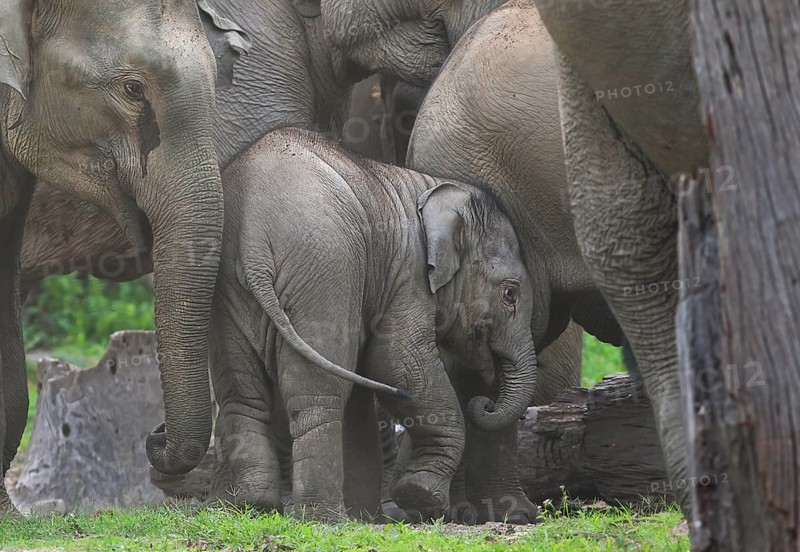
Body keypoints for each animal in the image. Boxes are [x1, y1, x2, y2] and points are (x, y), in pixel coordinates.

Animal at [207, 127, 539, 522]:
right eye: (510, 294)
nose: (484, 404)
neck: (429, 187)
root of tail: (254, 241)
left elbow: (369, 377)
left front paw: (375, 513)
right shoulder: (407, 275)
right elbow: (397, 364)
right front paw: (420, 498)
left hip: (230, 290)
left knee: (241, 393)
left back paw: (253, 506)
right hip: (325, 273)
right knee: (318, 394)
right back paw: (323, 519)